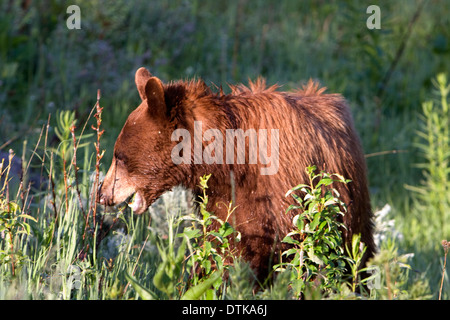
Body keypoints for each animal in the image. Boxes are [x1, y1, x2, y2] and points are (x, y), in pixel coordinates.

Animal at [98, 67, 376, 280]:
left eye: (118, 156)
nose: (102, 193)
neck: (231, 160)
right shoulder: (221, 200)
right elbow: (219, 248)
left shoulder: (284, 196)